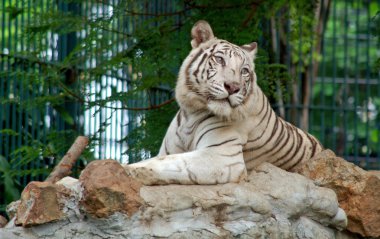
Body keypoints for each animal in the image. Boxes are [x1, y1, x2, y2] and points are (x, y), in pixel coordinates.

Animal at [123, 20, 322, 185]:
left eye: (244, 71)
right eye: (219, 59)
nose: (233, 87)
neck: (191, 112)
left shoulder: (221, 156)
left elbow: (166, 162)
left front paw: (130, 170)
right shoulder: (169, 150)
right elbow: (161, 158)